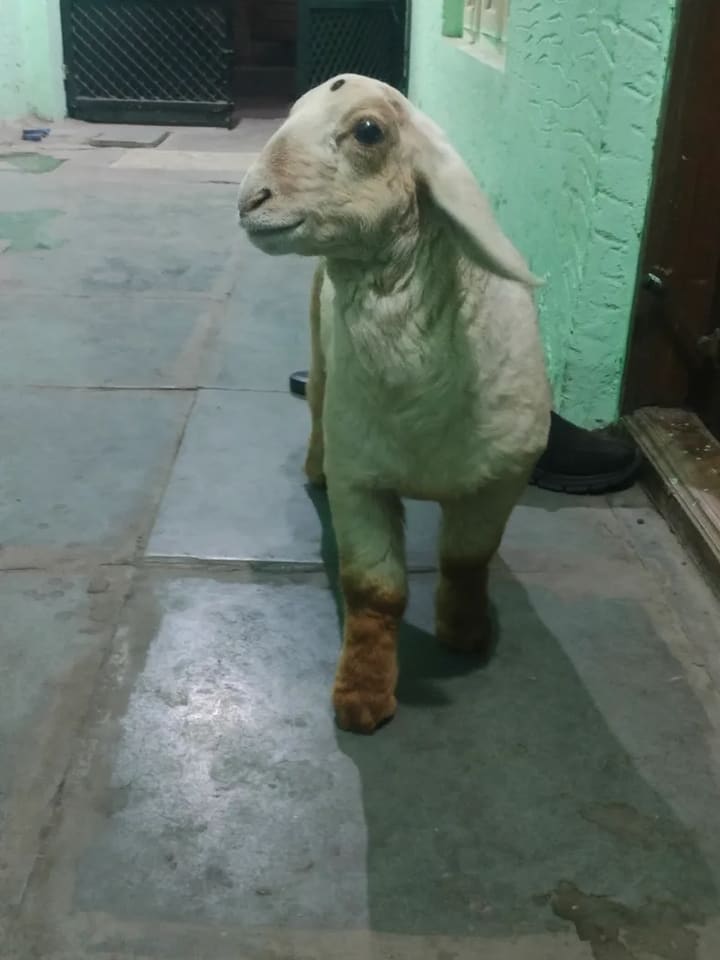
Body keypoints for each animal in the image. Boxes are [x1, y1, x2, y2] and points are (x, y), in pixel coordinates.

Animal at [237, 74, 551, 734]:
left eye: (368, 131)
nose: (250, 200)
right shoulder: (362, 480)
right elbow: (375, 592)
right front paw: (362, 697)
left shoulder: (502, 481)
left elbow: (467, 560)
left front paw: (466, 633)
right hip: (321, 358)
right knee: (316, 409)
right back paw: (312, 470)